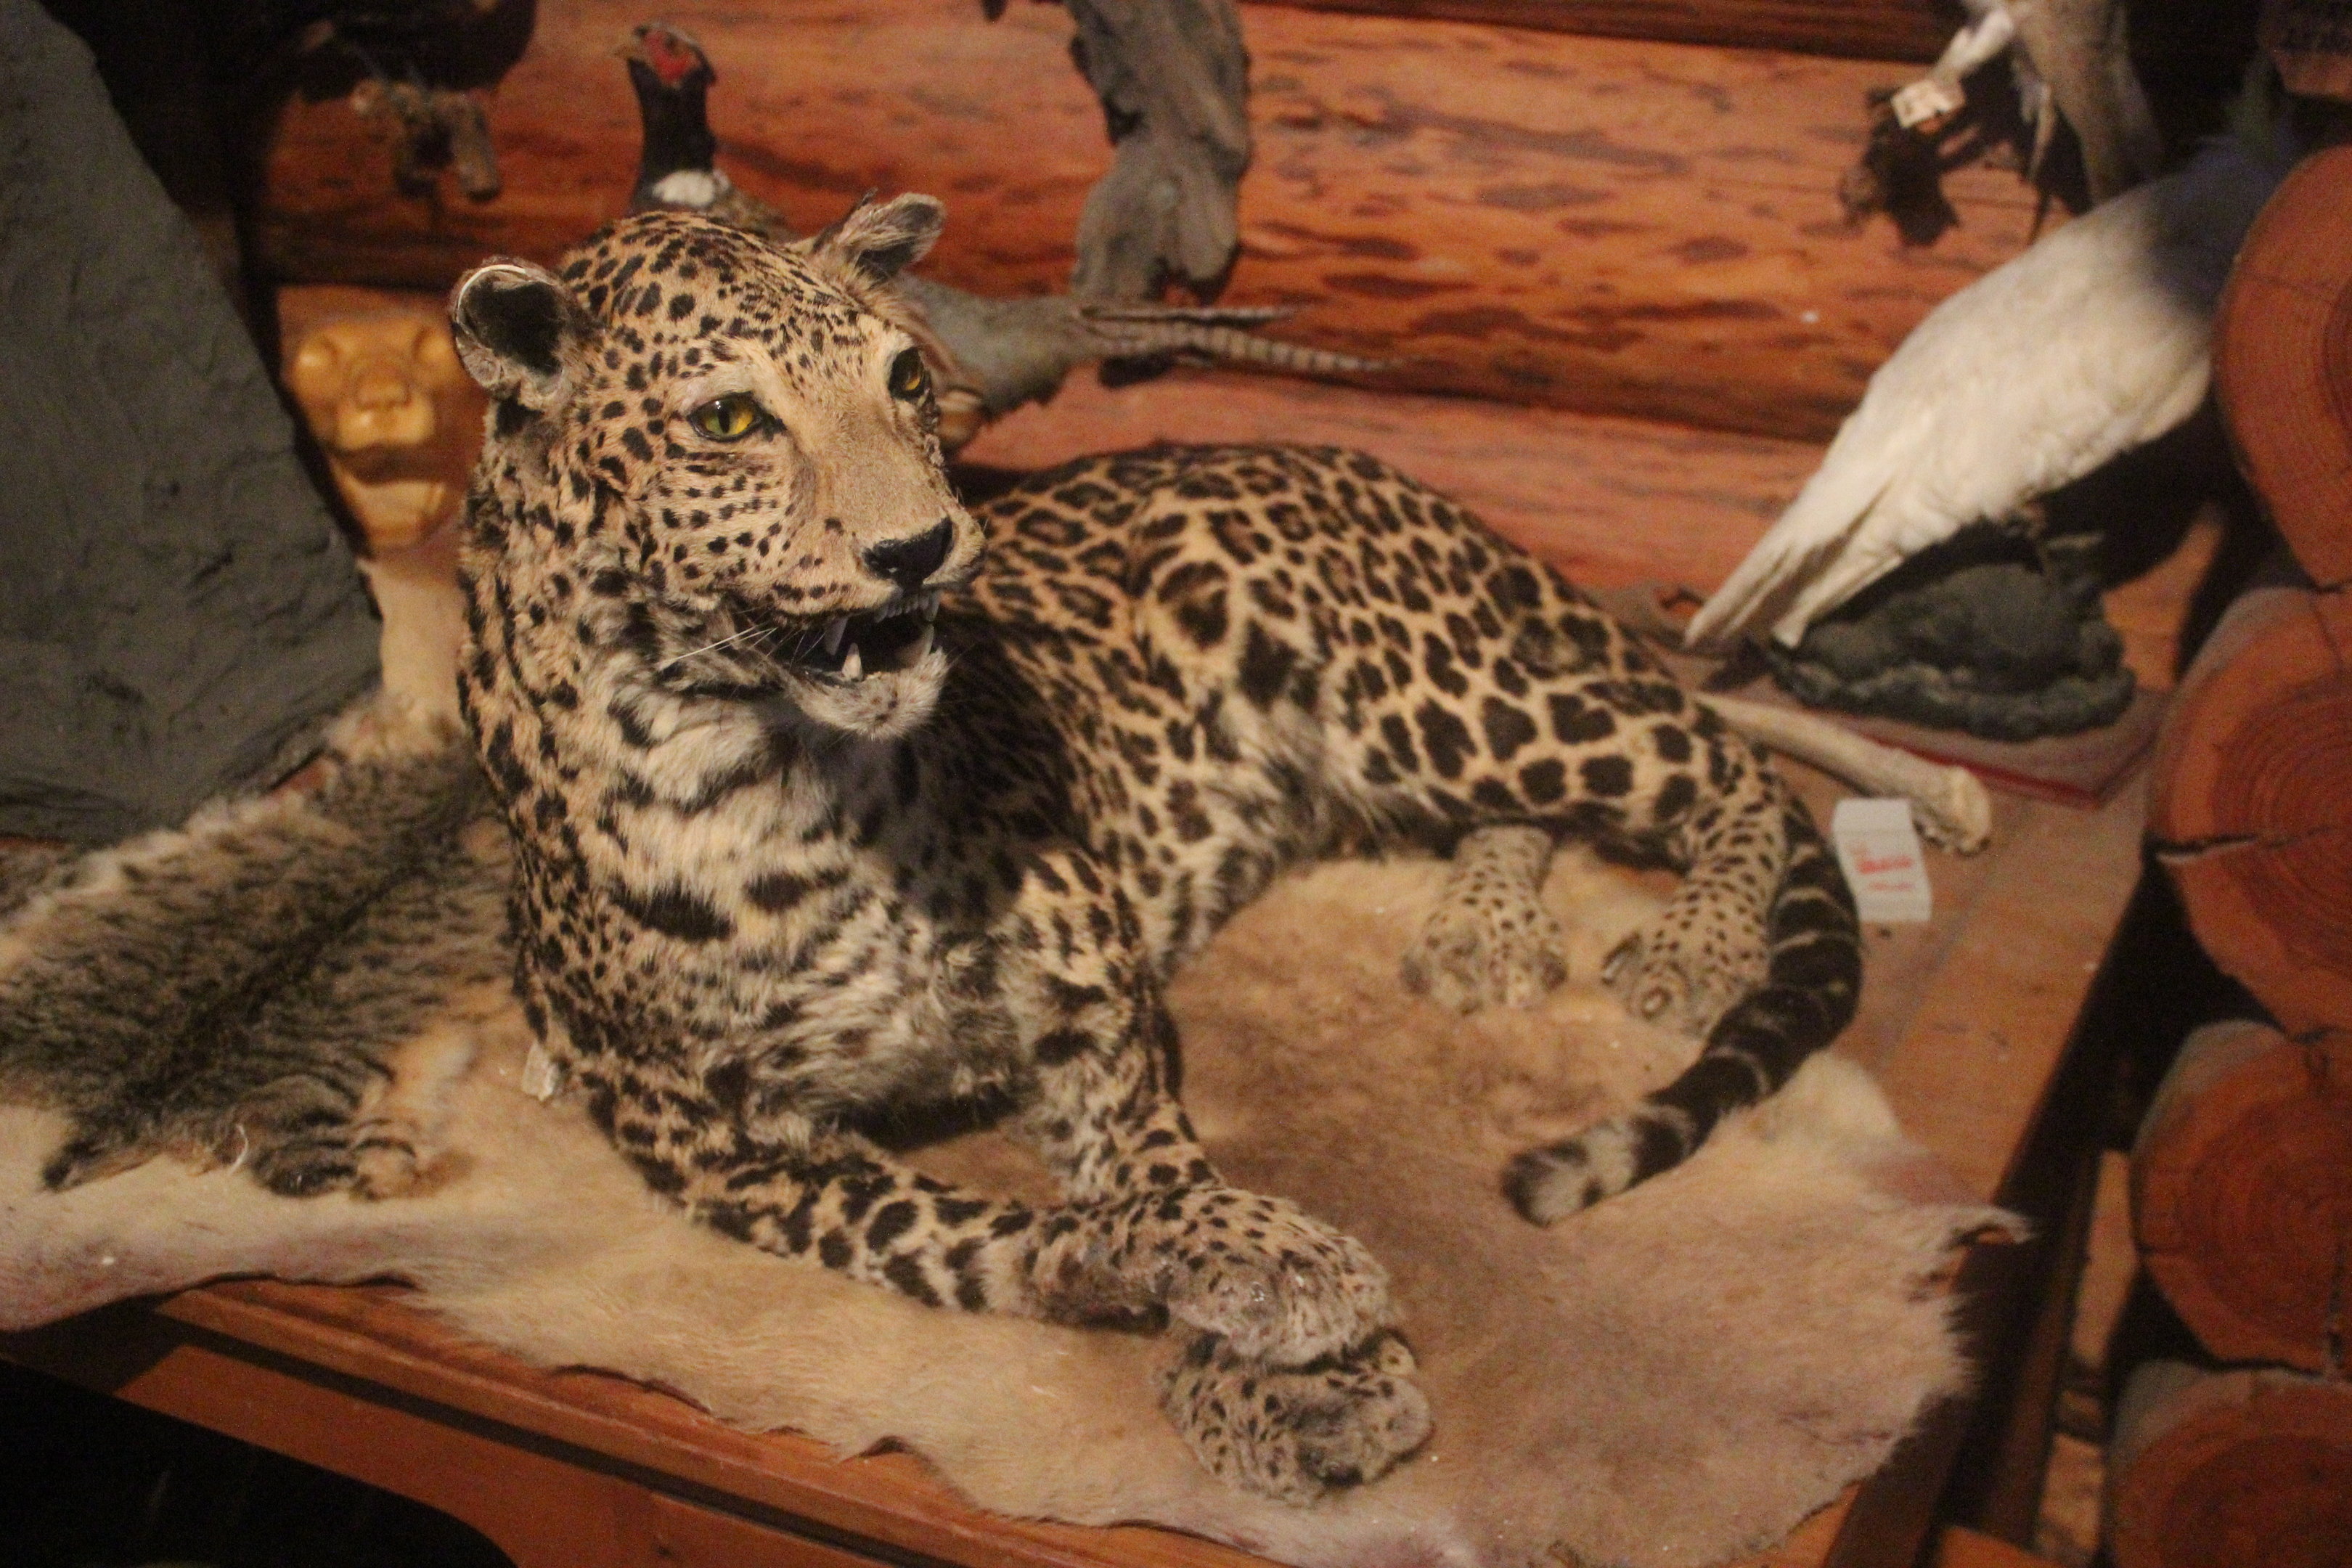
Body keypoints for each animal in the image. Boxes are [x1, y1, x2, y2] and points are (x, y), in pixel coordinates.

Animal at [442, 199, 1862, 1502]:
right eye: (730, 422)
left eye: (907, 379)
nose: (921, 548)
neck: (756, 777)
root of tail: (1364, 465)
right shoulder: (738, 1164)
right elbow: (989, 1232)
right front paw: (1248, 1297)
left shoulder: (1099, 1004)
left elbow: (1159, 1165)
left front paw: (1284, 1345)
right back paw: (1482, 932)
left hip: (1403, 683)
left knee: (1719, 761)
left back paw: (1690, 947)